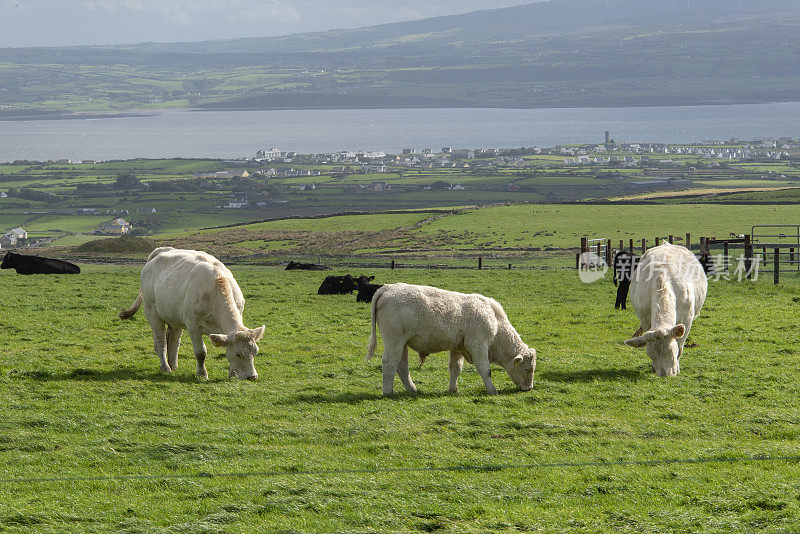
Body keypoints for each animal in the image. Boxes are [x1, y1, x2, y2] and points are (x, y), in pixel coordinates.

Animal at [118, 248, 266, 382]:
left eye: (255, 352)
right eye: (238, 354)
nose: (252, 377)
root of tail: (160, 252)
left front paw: (233, 374)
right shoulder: (193, 326)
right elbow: (201, 352)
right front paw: (202, 374)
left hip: (175, 317)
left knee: (174, 340)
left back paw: (174, 365)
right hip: (153, 312)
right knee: (161, 342)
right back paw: (166, 367)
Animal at [368, 282, 536, 396]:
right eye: (527, 369)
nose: (529, 388)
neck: (495, 319)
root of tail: (388, 288)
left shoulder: (458, 348)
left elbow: (455, 369)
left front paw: (453, 389)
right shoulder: (478, 345)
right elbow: (485, 370)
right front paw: (492, 390)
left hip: (402, 345)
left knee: (402, 366)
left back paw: (412, 389)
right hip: (394, 342)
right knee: (390, 363)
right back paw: (388, 392)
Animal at [624, 243, 708, 376]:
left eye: (670, 351)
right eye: (650, 355)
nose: (664, 375)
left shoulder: (687, 319)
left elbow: (680, 346)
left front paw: (677, 368)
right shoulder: (645, 319)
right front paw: (653, 368)